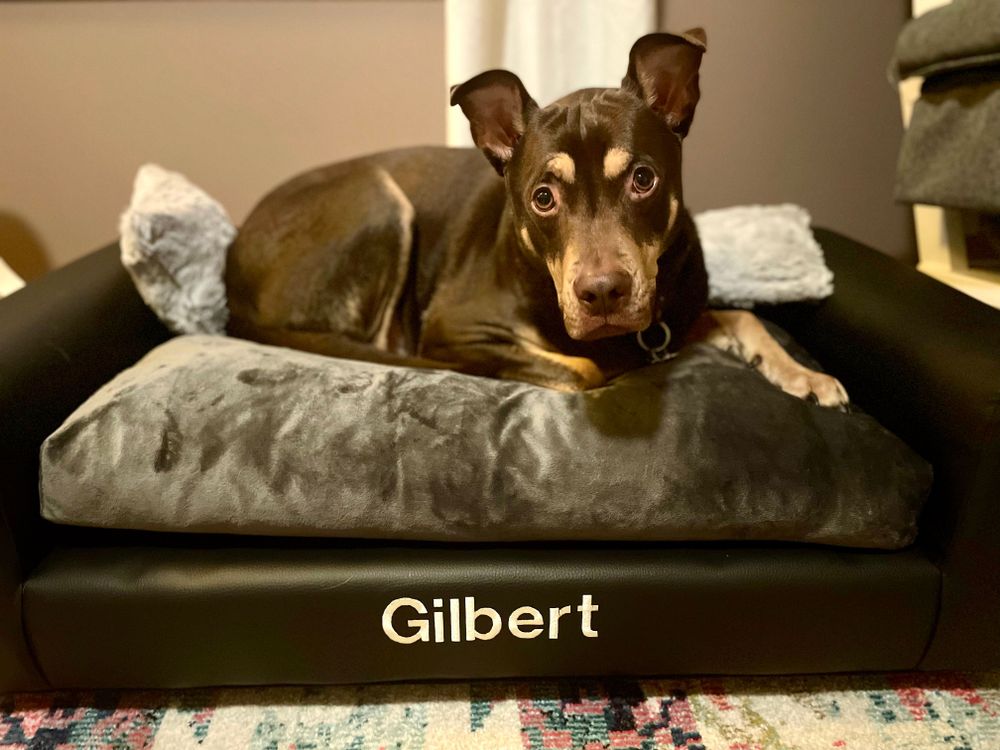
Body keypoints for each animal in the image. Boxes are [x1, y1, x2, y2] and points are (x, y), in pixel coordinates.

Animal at [225, 29, 844, 408]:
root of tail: (230, 277)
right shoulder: (459, 328)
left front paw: (806, 376)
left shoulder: (681, 312)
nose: (603, 293)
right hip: (379, 203)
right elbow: (586, 369)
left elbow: (745, 316)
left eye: (643, 179)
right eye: (543, 197)